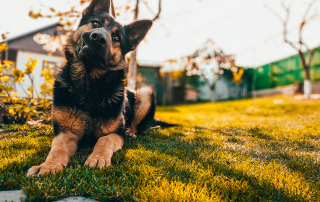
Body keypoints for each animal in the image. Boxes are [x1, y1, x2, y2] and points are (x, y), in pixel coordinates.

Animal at [26, 0, 154, 175]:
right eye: (96, 23)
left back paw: (131, 132)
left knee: (135, 124)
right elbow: (57, 148)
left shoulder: (115, 133)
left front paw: (98, 157)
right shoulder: (66, 132)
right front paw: (48, 165)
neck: (90, 84)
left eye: (117, 38)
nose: (98, 37)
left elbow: (104, 140)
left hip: (145, 94)